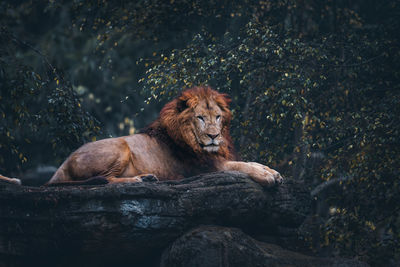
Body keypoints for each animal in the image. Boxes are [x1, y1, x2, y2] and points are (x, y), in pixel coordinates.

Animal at [0, 86, 282, 186]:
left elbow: (249, 161)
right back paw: (139, 180)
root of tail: (61, 165)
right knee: (105, 180)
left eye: (218, 118)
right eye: (200, 118)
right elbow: (241, 166)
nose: (214, 137)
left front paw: (272, 171)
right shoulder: (204, 167)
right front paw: (268, 176)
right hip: (121, 147)